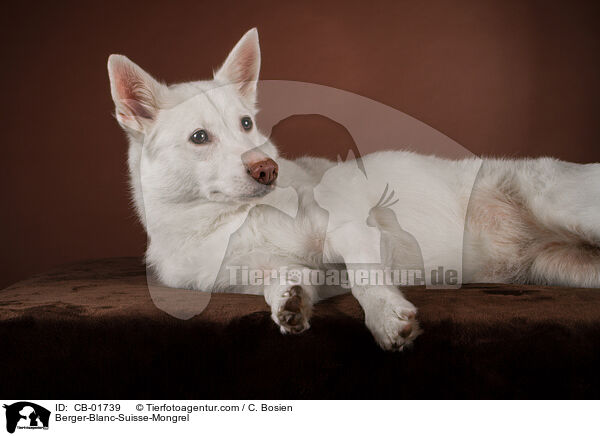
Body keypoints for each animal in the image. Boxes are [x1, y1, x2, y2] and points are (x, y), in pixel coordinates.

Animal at [108, 29, 600, 350]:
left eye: (246, 124)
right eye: (199, 137)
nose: (267, 170)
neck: (229, 220)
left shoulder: (353, 231)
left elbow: (367, 280)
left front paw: (386, 319)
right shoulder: (278, 276)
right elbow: (284, 280)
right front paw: (288, 305)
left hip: (565, 208)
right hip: (563, 268)